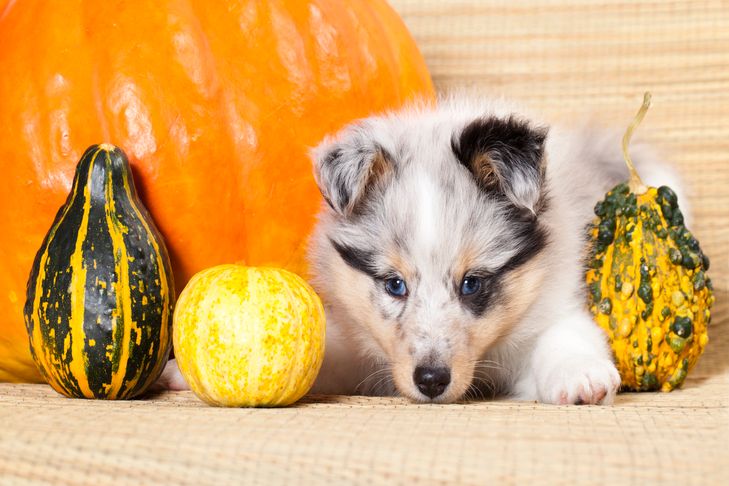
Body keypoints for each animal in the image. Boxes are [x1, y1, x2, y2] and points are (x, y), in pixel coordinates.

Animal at [302, 94, 684, 402]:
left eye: (472, 283)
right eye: (395, 285)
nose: (431, 381)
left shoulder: (551, 305)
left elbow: (563, 336)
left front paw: (580, 375)